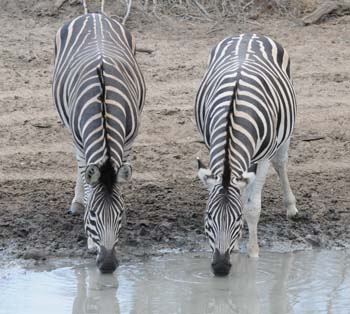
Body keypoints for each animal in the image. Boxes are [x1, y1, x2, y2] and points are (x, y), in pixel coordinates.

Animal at [52, 1, 145, 272]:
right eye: (93, 215)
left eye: (120, 214)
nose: (108, 264)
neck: (103, 106)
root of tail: (94, 15)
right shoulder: (81, 140)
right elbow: (87, 177)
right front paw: (92, 242)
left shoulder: (129, 139)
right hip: (71, 129)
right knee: (80, 166)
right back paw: (77, 201)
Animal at [196, 33, 296, 274]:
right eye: (208, 216)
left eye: (236, 218)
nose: (220, 267)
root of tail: (250, 34)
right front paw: (234, 247)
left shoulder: (263, 159)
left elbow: (252, 206)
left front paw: (253, 253)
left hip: (285, 132)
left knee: (281, 163)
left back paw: (291, 206)